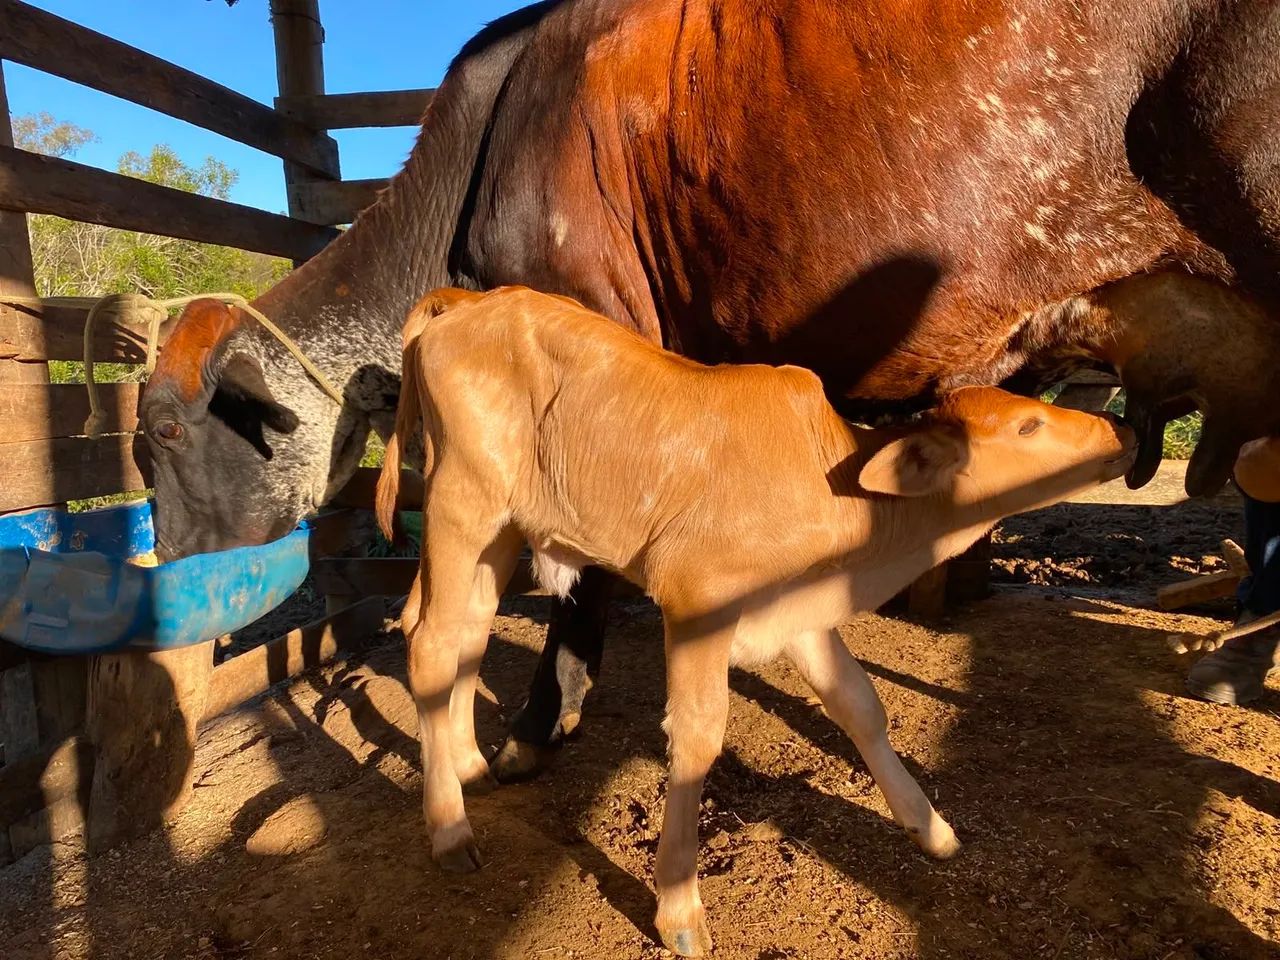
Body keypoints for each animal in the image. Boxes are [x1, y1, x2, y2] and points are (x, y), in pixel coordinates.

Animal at [373, 285, 1138, 957]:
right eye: (1030, 426)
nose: (1124, 429)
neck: (850, 502)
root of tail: (471, 300)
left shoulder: (801, 614)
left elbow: (862, 705)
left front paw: (930, 826)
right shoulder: (697, 602)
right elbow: (697, 738)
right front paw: (679, 909)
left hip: (500, 531)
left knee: (468, 635)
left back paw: (469, 766)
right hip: (460, 502)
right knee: (431, 643)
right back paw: (449, 828)